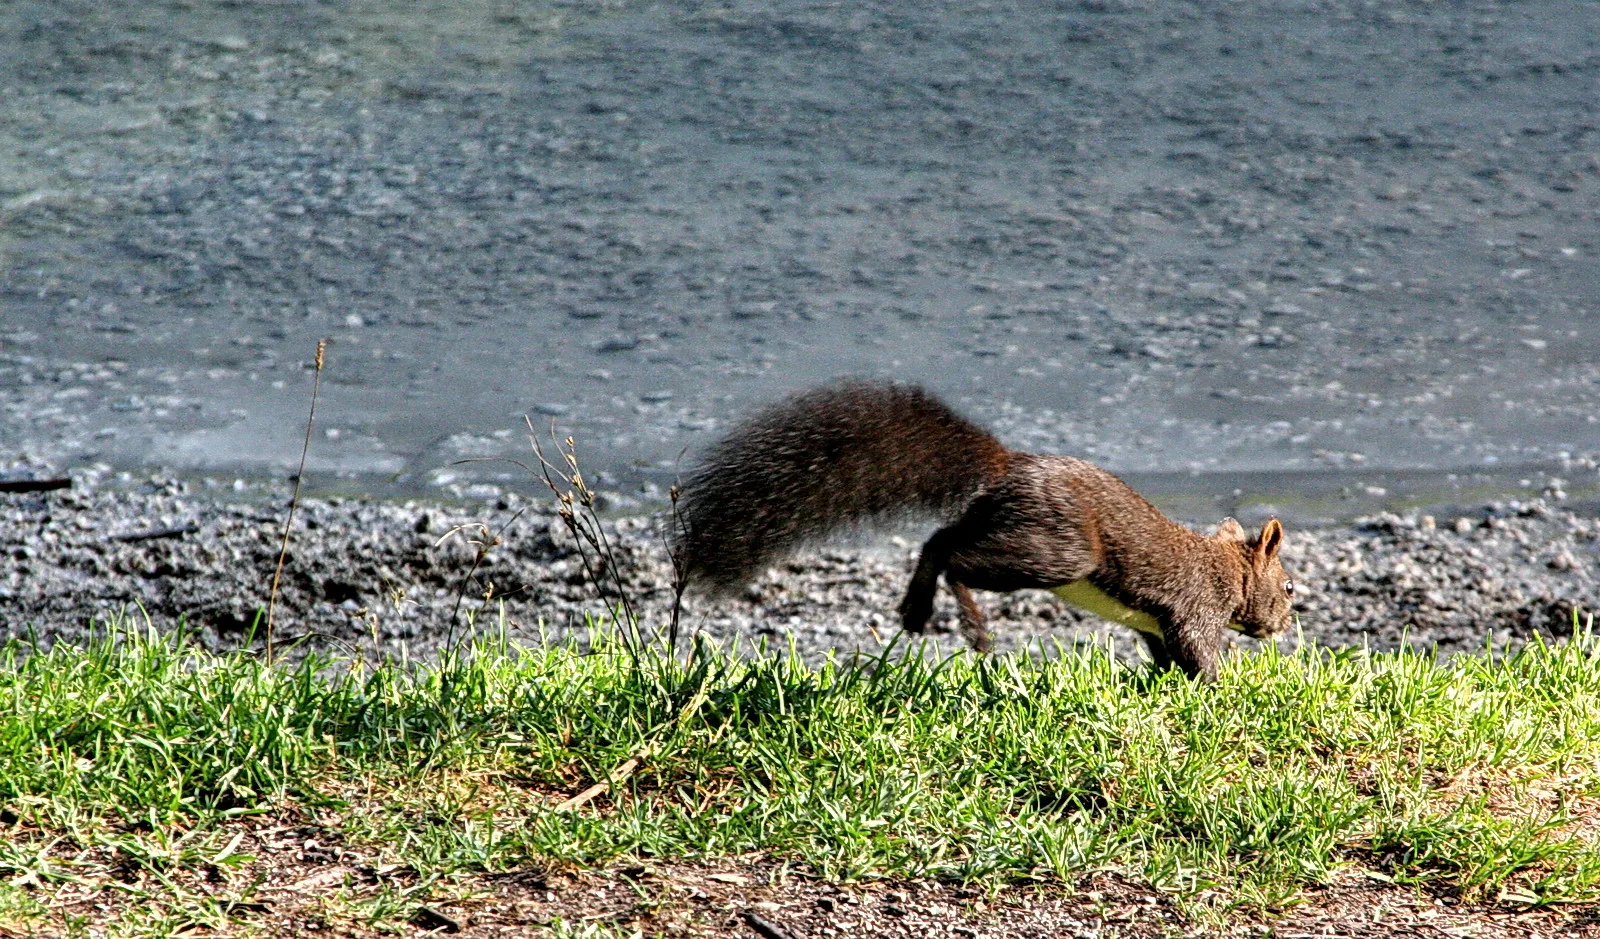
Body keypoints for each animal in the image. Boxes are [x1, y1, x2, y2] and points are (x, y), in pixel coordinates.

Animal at [673, 380, 1295, 680]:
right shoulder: (1196, 609)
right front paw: (1222, 690)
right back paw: (970, 625)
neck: (1229, 571)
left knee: (938, 539)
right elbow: (1199, 655)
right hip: (1057, 549)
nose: (1285, 626)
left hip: (1004, 522)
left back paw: (916, 607)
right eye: (1289, 587)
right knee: (957, 559)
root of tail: (1009, 465)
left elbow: (1166, 658)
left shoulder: (1153, 626)